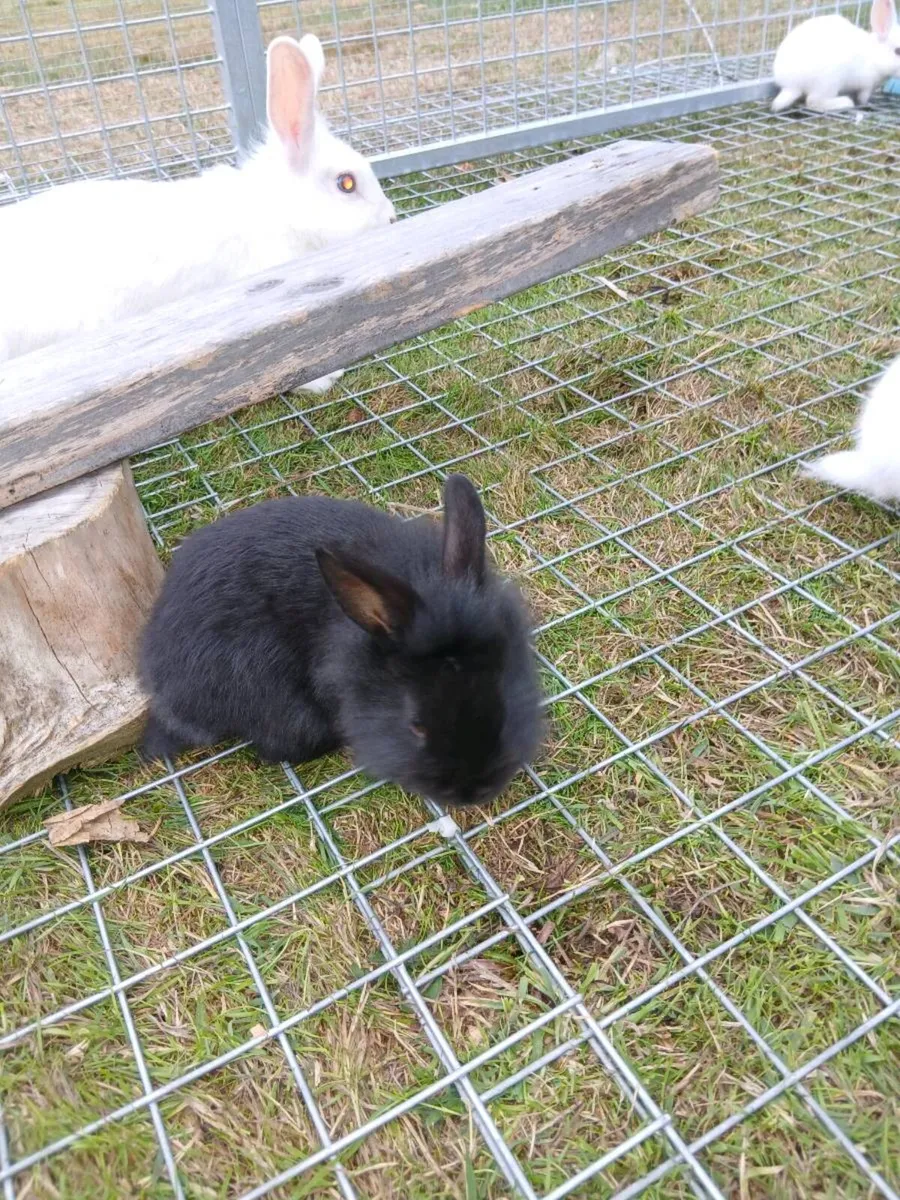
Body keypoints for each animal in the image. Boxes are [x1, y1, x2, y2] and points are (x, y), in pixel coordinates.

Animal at [771, 0, 900, 112]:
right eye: (898, 51)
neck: (875, 55)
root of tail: (791, 86)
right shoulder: (867, 85)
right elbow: (863, 97)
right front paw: (867, 103)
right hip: (829, 82)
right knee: (813, 101)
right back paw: (845, 102)